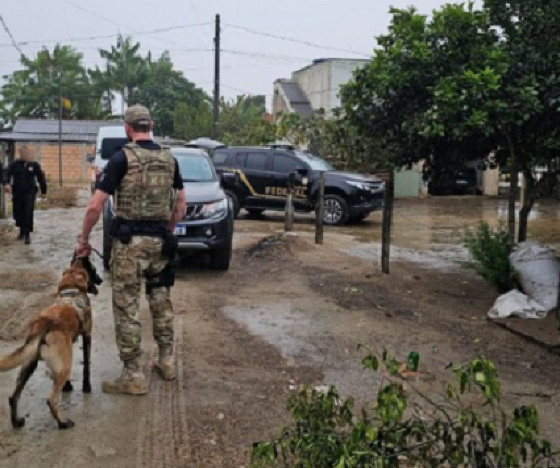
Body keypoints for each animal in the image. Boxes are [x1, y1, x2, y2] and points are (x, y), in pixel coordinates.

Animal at [0, 258, 101, 430]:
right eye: (94, 270)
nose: (101, 280)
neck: (72, 285)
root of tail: (44, 322)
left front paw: (68, 386)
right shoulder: (87, 336)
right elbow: (86, 366)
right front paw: (86, 387)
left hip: (29, 363)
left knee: (13, 396)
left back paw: (16, 421)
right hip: (64, 365)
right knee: (51, 399)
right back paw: (63, 422)